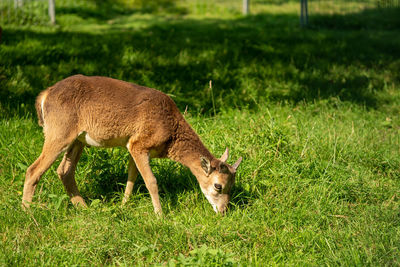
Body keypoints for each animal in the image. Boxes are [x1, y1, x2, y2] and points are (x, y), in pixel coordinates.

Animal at [23, 75, 242, 216]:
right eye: (218, 185)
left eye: (232, 185)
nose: (223, 211)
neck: (170, 133)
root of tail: (44, 95)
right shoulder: (140, 144)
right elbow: (151, 181)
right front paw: (160, 215)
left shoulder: (131, 145)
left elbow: (131, 177)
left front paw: (123, 205)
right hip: (59, 131)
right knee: (33, 169)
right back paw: (27, 211)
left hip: (77, 140)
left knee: (64, 171)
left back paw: (84, 208)